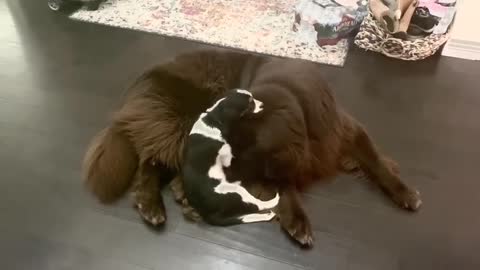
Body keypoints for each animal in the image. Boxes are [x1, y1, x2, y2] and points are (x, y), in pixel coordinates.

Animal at [184, 88, 282, 226]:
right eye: (250, 103)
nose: (263, 104)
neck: (213, 120)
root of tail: (208, 215)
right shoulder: (227, 156)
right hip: (237, 192)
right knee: (258, 205)